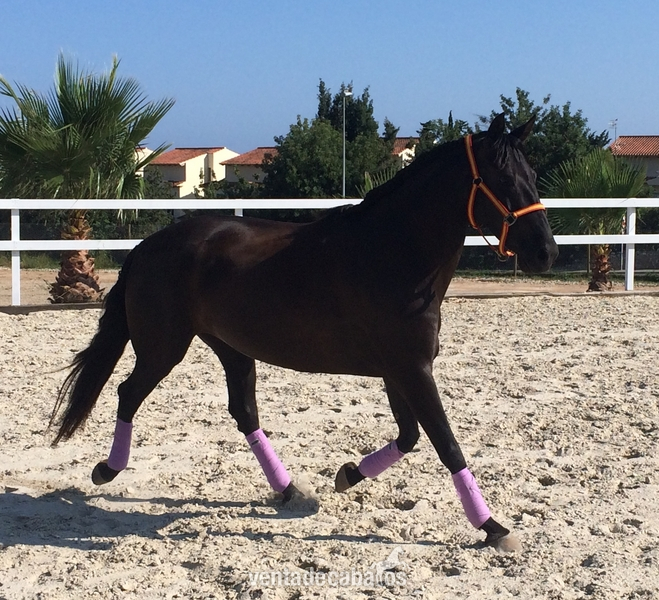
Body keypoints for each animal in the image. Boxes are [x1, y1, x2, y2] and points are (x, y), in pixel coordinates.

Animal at [50, 114, 558, 550]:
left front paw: (348, 474)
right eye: (502, 179)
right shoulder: (412, 369)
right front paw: (493, 527)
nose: (546, 253)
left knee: (244, 413)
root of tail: (146, 246)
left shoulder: (401, 371)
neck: (394, 253)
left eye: (533, 175)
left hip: (231, 348)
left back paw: (290, 490)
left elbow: (410, 436)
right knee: (128, 393)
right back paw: (106, 470)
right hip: (163, 347)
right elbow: (446, 444)